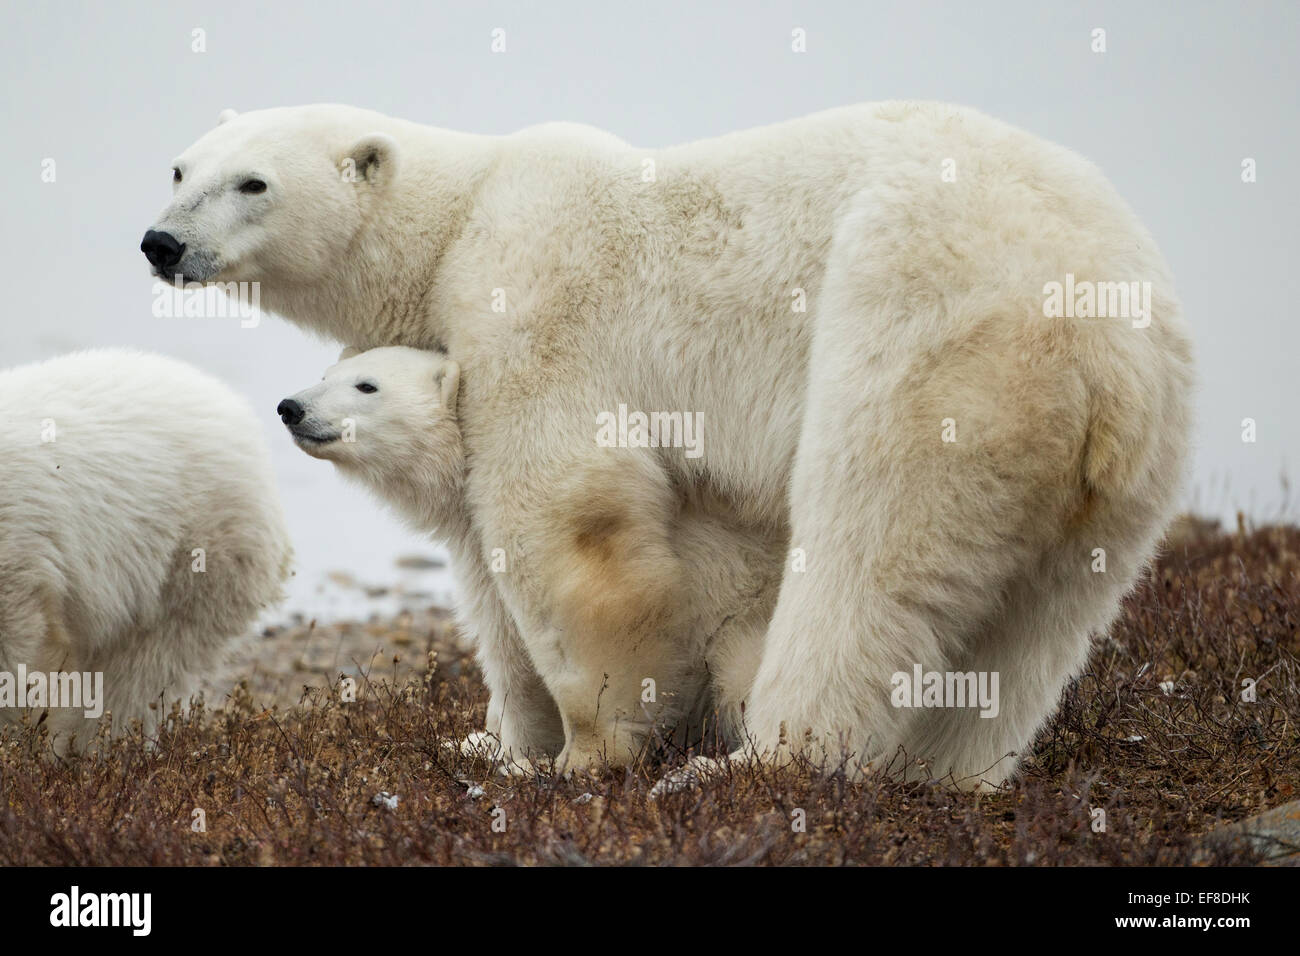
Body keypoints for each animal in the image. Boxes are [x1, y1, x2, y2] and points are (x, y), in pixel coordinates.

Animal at [142, 102, 1190, 790]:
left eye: (254, 181)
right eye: (180, 169)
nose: (160, 243)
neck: (461, 215)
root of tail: (1106, 345)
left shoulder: (533, 303)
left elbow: (569, 516)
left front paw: (590, 749)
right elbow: (483, 559)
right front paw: (496, 742)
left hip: (928, 341)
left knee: (864, 557)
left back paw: (755, 765)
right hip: (1133, 455)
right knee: (1040, 619)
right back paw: (946, 773)